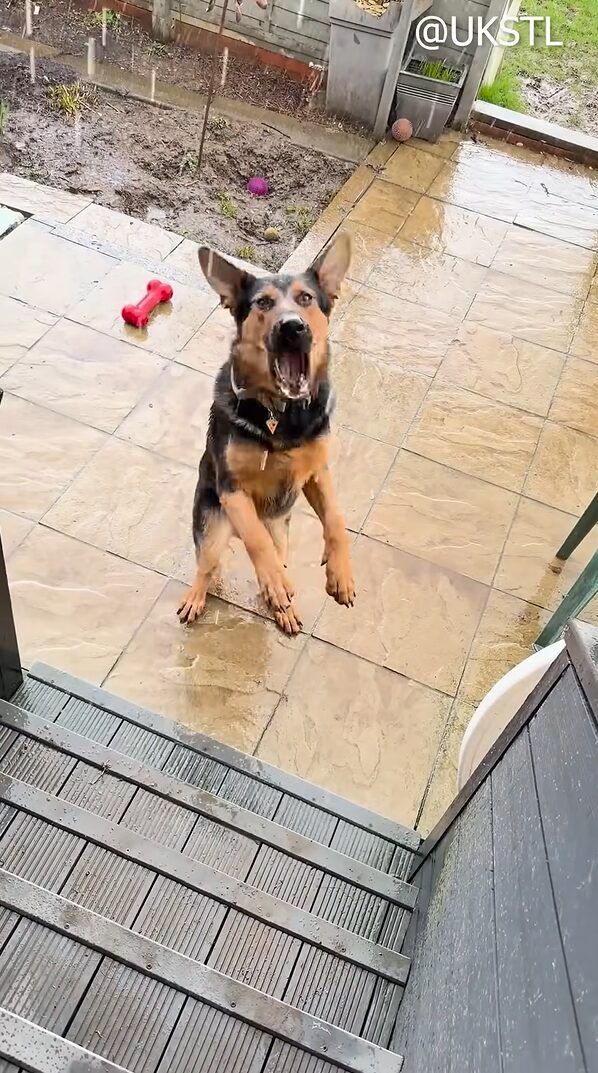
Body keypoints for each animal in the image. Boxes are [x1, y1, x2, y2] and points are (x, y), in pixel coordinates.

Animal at [177, 232, 355, 636]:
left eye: (306, 298)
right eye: (263, 303)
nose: (292, 327)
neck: (280, 414)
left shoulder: (316, 473)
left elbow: (336, 519)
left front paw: (340, 574)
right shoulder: (232, 490)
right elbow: (257, 542)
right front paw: (275, 582)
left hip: (281, 531)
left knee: (277, 553)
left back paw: (282, 606)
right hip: (213, 525)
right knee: (207, 566)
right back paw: (200, 597)